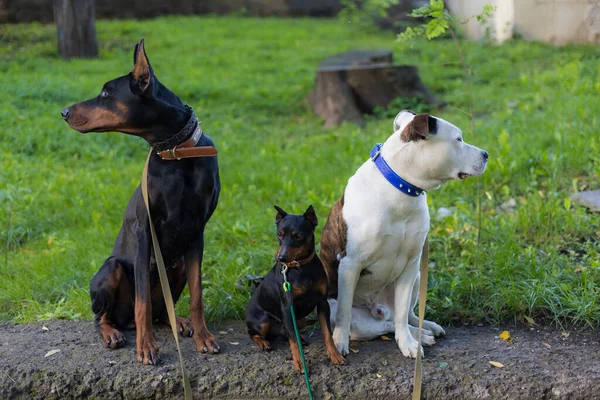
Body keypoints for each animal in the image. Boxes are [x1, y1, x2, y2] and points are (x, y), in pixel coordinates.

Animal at [61, 39, 220, 364]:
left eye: (106, 93)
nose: (64, 111)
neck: (175, 152)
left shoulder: (197, 231)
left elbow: (197, 295)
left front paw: (204, 337)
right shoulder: (144, 231)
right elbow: (142, 301)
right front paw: (146, 347)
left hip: (178, 264)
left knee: (162, 312)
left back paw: (179, 322)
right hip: (112, 269)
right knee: (102, 317)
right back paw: (113, 332)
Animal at [245, 206, 346, 372]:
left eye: (298, 236)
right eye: (279, 234)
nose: (281, 258)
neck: (300, 268)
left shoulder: (322, 303)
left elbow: (327, 333)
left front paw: (335, 355)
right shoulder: (287, 308)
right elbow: (293, 340)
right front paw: (299, 362)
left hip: (300, 320)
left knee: (286, 332)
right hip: (264, 320)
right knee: (254, 333)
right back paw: (263, 342)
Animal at [318, 111, 488, 358]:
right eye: (458, 139)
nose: (486, 154)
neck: (402, 189)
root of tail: (379, 309)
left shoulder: (410, 264)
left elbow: (401, 314)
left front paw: (407, 344)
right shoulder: (350, 265)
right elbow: (344, 312)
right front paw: (339, 342)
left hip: (417, 277)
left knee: (403, 316)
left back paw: (423, 330)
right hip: (355, 317)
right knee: (381, 324)